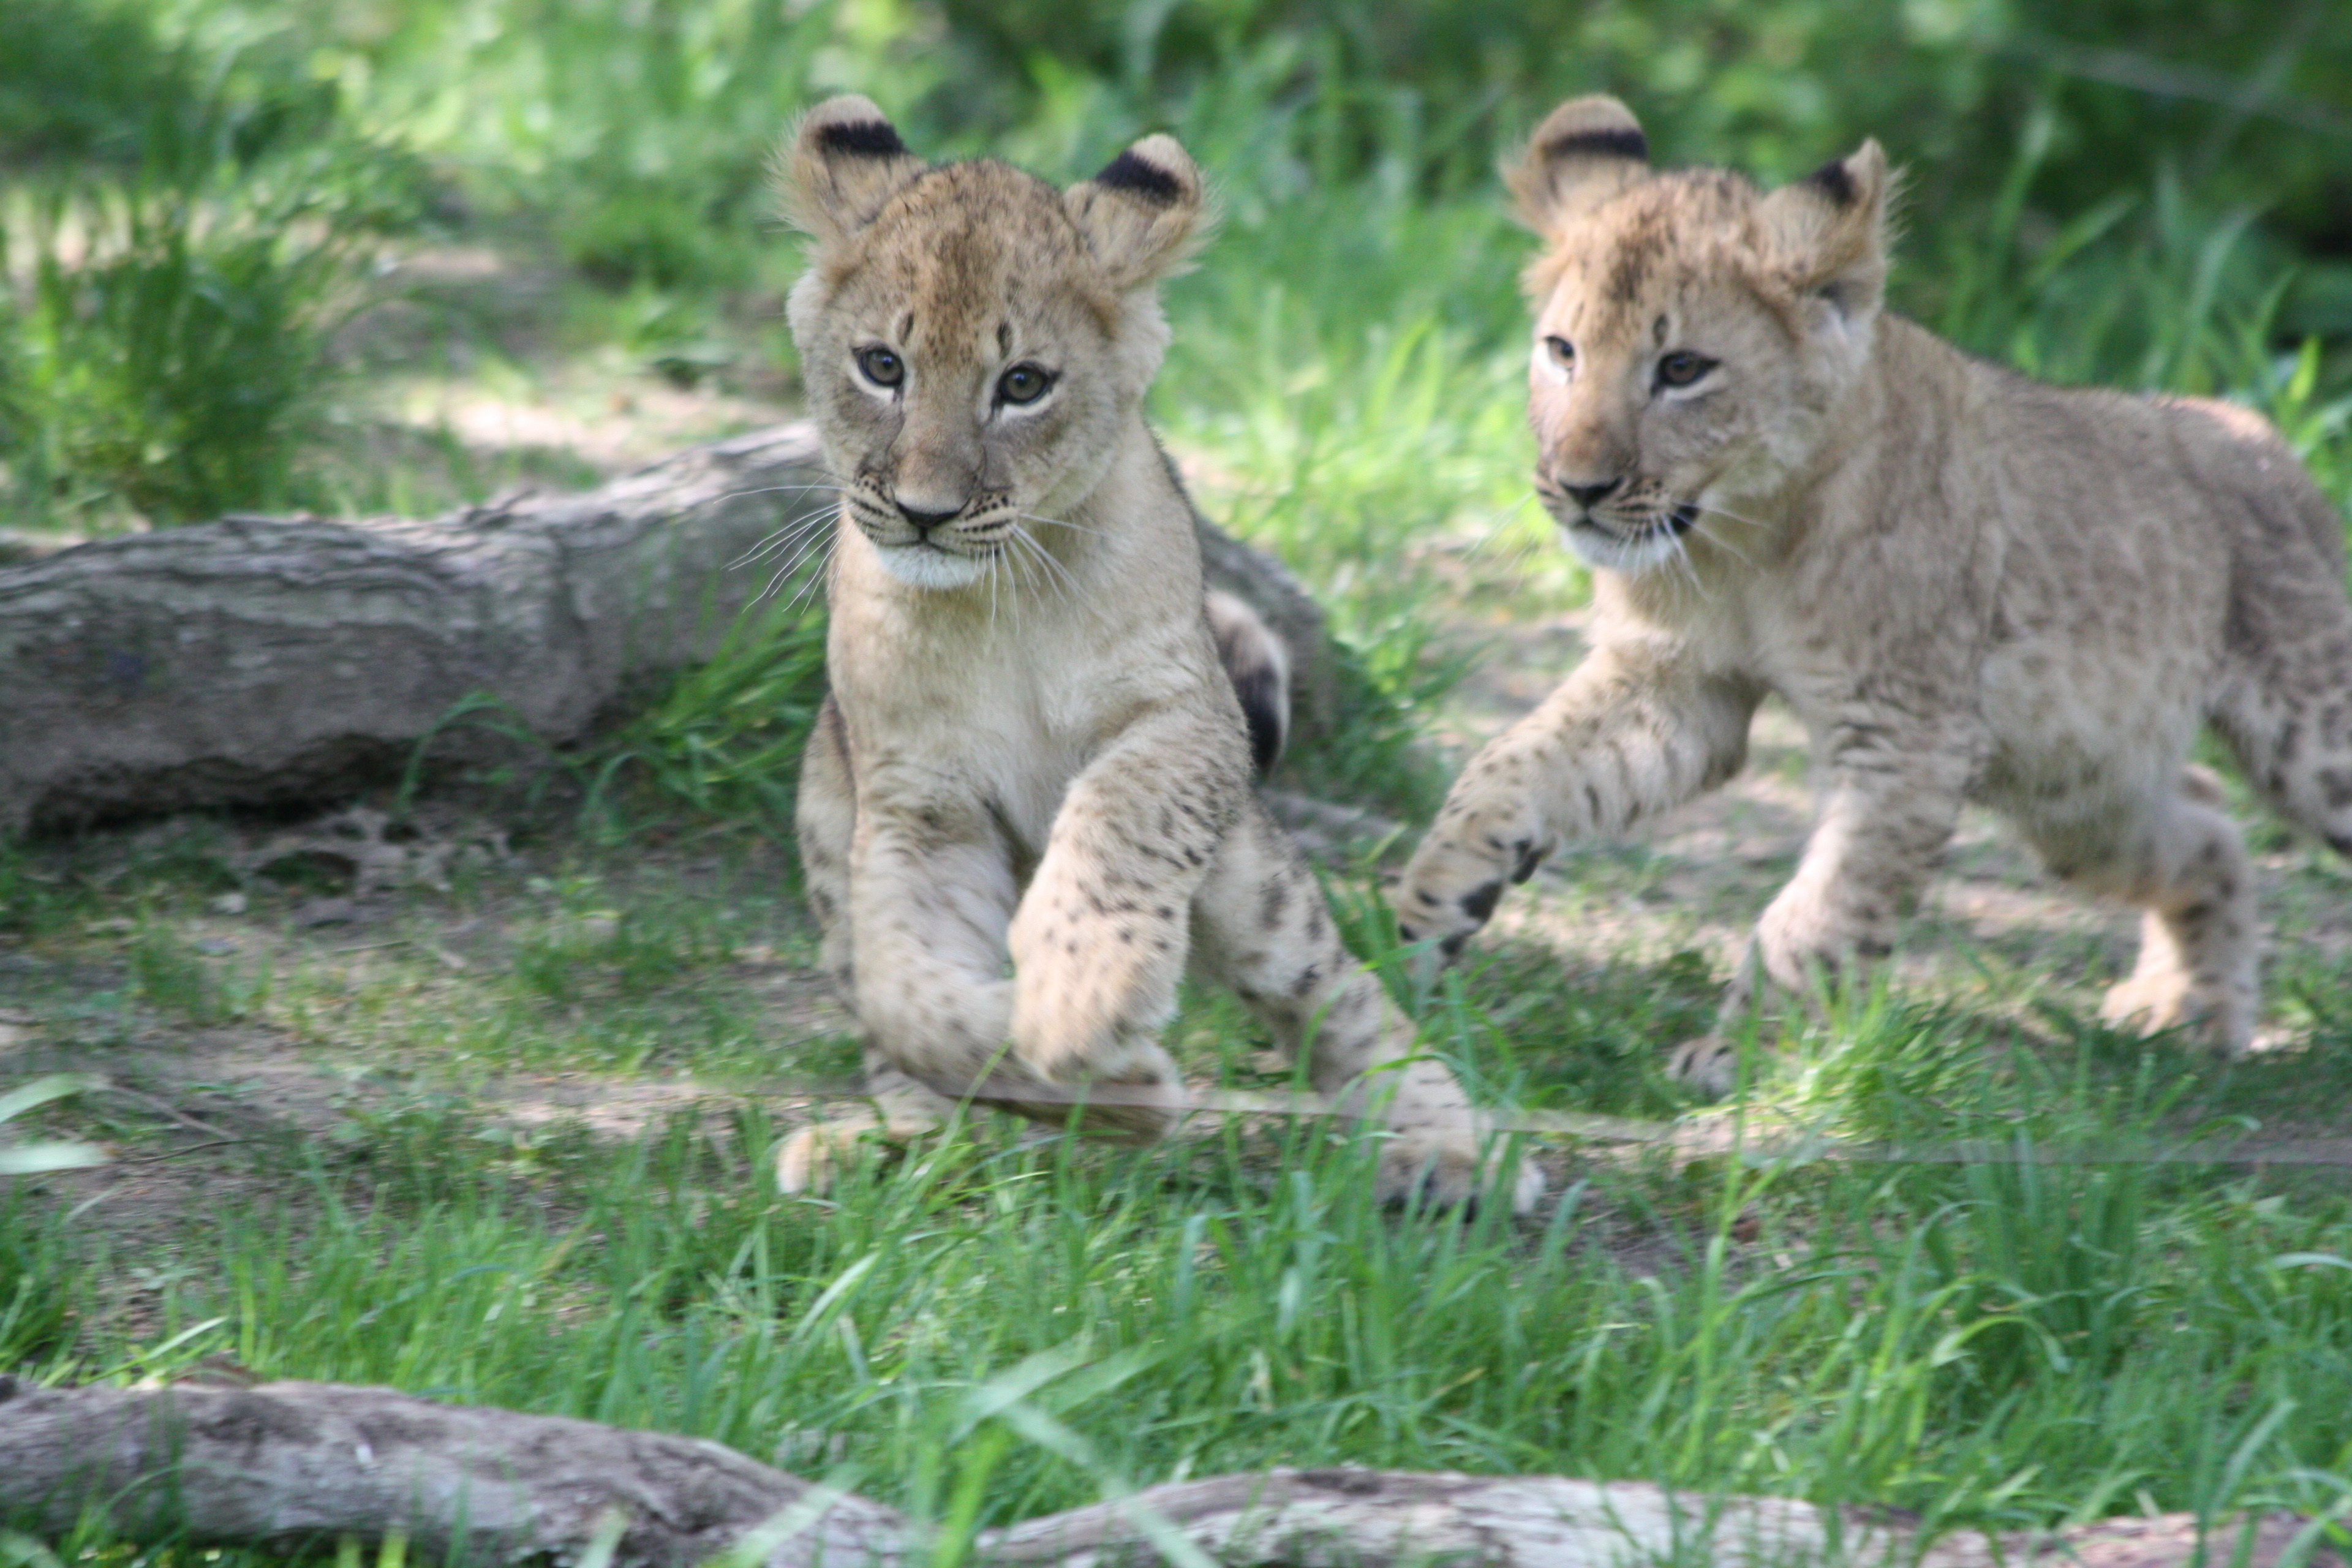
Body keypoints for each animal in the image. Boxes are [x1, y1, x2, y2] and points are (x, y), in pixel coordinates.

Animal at [772, 96, 1539, 1209]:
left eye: (1023, 384)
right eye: (882, 366)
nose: (924, 514)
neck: (997, 602)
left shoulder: (1189, 716)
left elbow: (1118, 816)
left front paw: (1084, 1003)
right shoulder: (919, 798)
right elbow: (907, 996)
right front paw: (1097, 1082)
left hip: (1252, 880)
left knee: (1340, 996)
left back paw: (1455, 1152)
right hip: (827, 812)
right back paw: (900, 1149)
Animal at [1393, 95, 2352, 1093]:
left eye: (1684, 369)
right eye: (1562, 351)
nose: (1578, 488)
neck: (1743, 539)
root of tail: (2254, 432)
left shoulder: (1907, 737)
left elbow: (1816, 918)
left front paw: (1739, 1060)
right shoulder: (1678, 685)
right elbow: (1509, 767)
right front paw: (1426, 912)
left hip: (2305, 732)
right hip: (2077, 787)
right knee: (2206, 820)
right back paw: (2190, 1008)